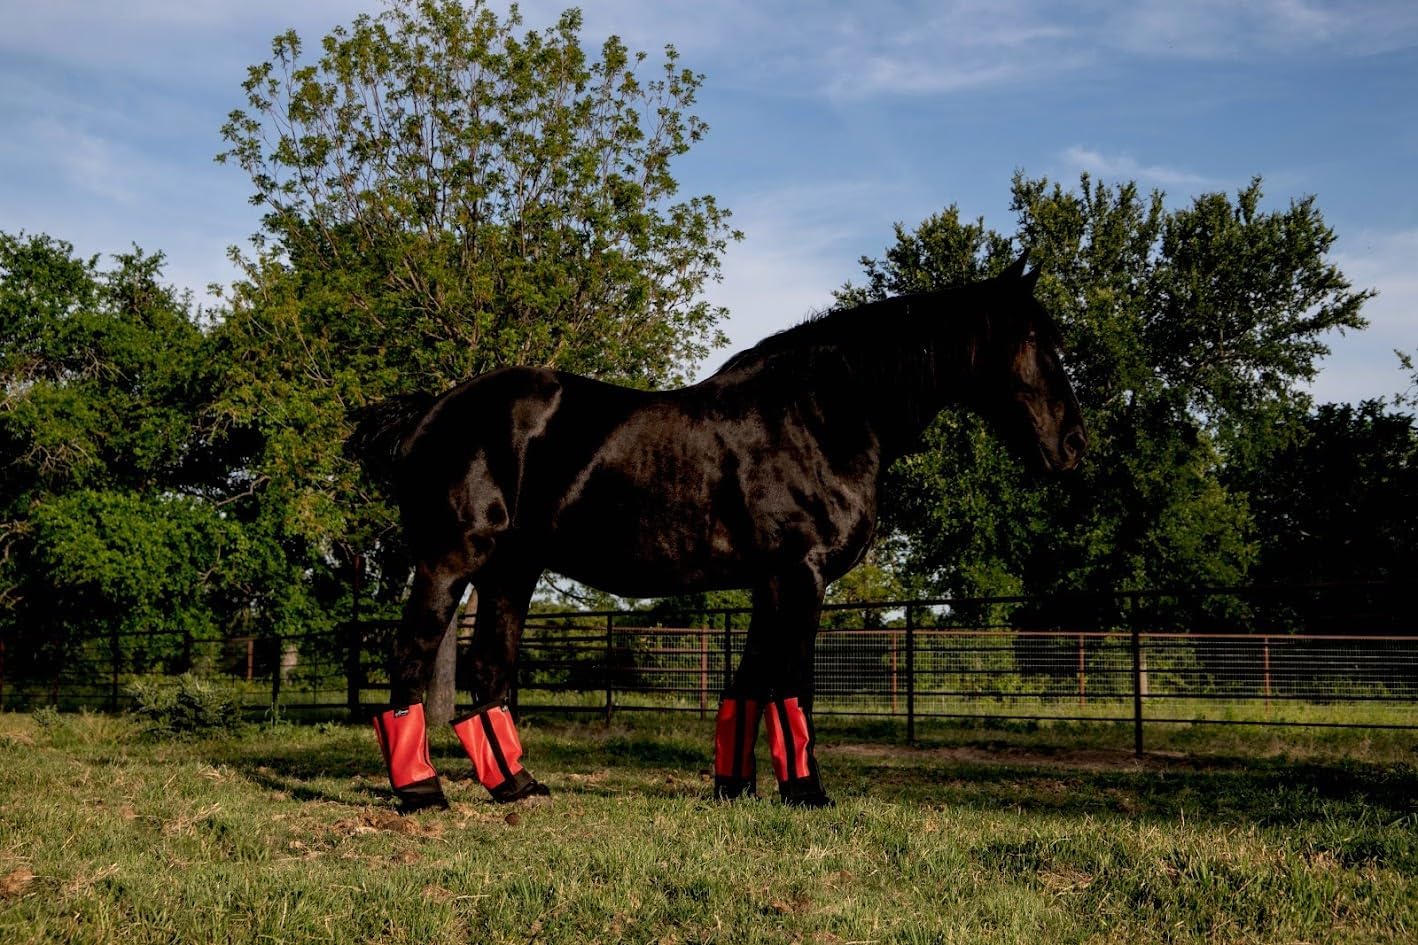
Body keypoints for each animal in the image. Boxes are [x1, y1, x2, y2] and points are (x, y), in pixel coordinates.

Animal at [349, 253, 1086, 810]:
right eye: (1031, 341)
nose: (1073, 446)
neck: (823, 415)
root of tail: (430, 413)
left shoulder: (771, 581)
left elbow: (750, 684)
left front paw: (735, 787)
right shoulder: (801, 574)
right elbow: (792, 683)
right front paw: (807, 792)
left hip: (512, 570)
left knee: (490, 670)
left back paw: (517, 784)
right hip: (451, 559)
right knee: (412, 657)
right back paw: (421, 790)